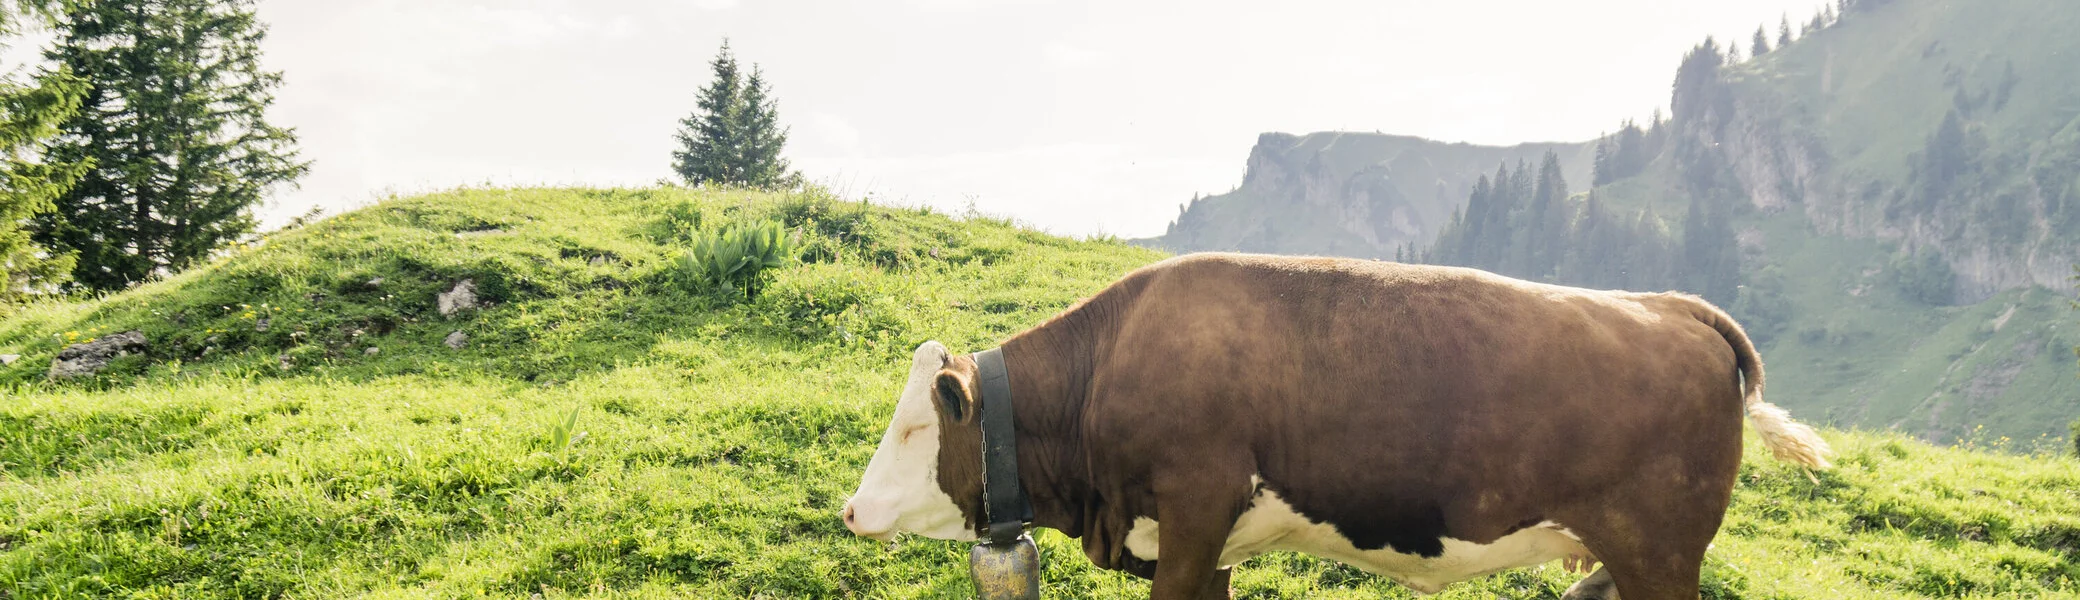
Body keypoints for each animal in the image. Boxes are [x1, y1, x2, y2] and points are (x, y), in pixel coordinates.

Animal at [842, 252, 1832, 600]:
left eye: (911, 431)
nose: (851, 511)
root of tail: (1672, 305)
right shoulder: (1205, 540)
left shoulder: (1194, 508)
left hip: (1663, 554)